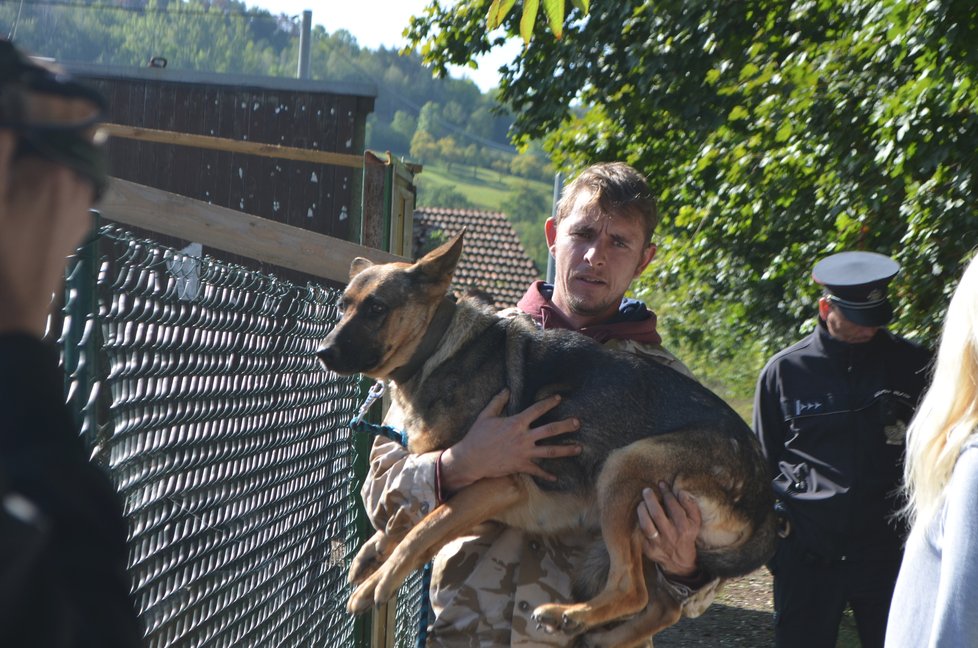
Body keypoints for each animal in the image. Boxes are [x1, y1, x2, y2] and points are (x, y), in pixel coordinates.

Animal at [316, 234, 772, 648]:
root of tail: (765, 502)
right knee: (662, 603)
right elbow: (411, 514)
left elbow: (422, 531)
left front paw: (376, 584)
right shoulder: (474, 500)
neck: (438, 347)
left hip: (626, 466)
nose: (322, 352)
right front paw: (372, 552)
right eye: (343, 306)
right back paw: (597, 634)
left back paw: (567, 616)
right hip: (641, 527)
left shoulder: (498, 487)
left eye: (377, 308)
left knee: (632, 589)